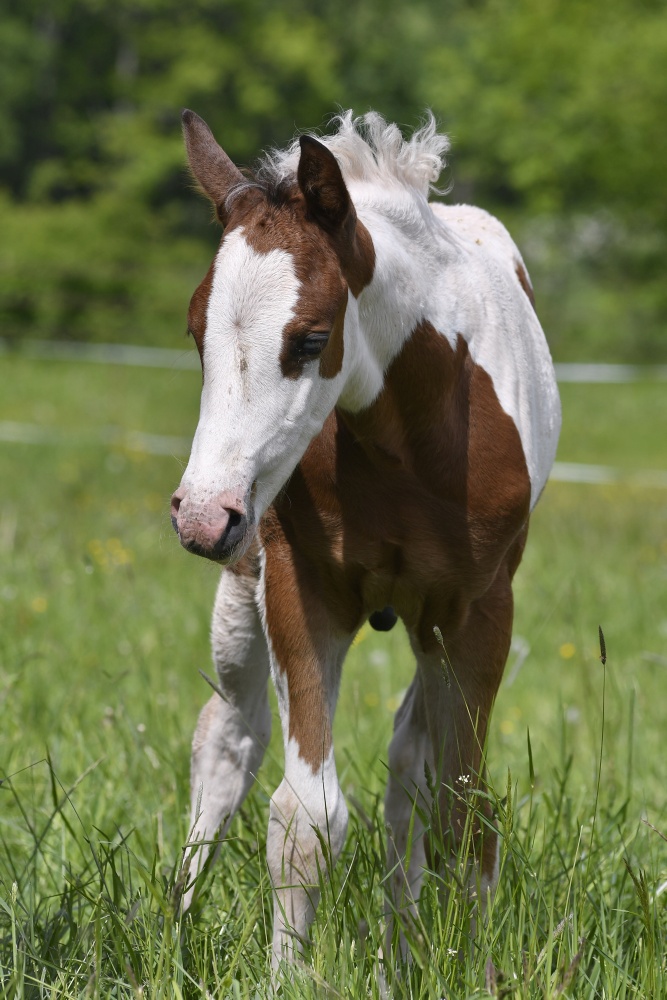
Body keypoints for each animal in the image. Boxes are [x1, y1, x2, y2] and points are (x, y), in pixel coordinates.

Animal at [170, 109, 560, 960]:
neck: (408, 438)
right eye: (194, 332)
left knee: (409, 765)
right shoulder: (301, 587)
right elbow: (303, 817)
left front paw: (464, 966)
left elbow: (461, 807)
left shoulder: (479, 612)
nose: (202, 515)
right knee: (227, 742)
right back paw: (174, 940)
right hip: (244, 594)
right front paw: (287, 973)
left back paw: (401, 949)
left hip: (427, 626)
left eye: (312, 341)